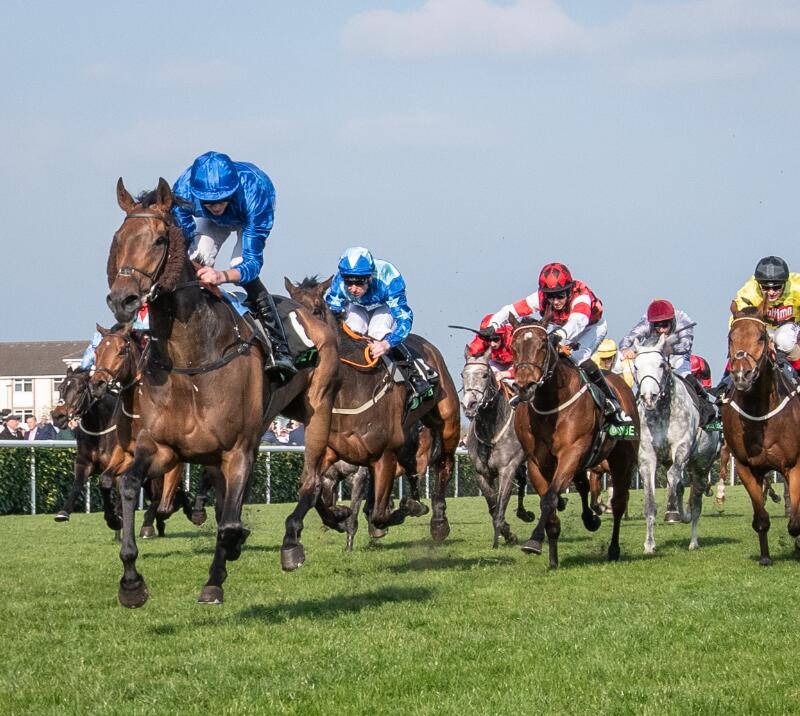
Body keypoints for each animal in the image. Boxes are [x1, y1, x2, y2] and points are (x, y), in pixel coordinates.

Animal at [105, 179, 340, 604]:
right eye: (118, 239)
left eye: (160, 239)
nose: (123, 299)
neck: (194, 356)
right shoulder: (161, 447)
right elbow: (130, 485)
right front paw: (131, 581)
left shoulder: (237, 449)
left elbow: (229, 523)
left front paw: (216, 576)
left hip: (318, 409)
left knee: (312, 481)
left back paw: (291, 541)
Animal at [284, 276, 460, 544]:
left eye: (315, 310)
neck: (349, 390)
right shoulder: (332, 453)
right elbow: (314, 492)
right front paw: (339, 516)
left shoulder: (384, 453)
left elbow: (379, 514)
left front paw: (406, 509)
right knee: (412, 467)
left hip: (447, 421)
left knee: (445, 464)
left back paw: (438, 520)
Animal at [510, 316, 640, 568]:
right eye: (514, 347)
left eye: (543, 344)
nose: (524, 386)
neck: (550, 406)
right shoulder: (536, 462)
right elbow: (550, 504)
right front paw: (552, 559)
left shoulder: (572, 452)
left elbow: (550, 498)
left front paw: (534, 540)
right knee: (583, 486)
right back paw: (590, 519)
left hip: (622, 459)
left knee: (619, 502)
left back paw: (613, 548)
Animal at [636, 338, 720, 552]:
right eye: (636, 366)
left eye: (661, 364)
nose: (649, 397)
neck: (663, 412)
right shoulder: (648, 457)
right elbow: (650, 503)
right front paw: (649, 544)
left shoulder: (681, 447)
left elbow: (673, 477)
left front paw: (672, 511)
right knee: (682, 488)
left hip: (701, 466)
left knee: (696, 501)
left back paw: (693, 540)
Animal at [720, 302, 800, 564]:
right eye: (731, 337)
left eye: (761, 337)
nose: (741, 375)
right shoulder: (746, 466)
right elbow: (761, 517)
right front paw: (765, 557)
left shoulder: (794, 464)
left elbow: (795, 522)